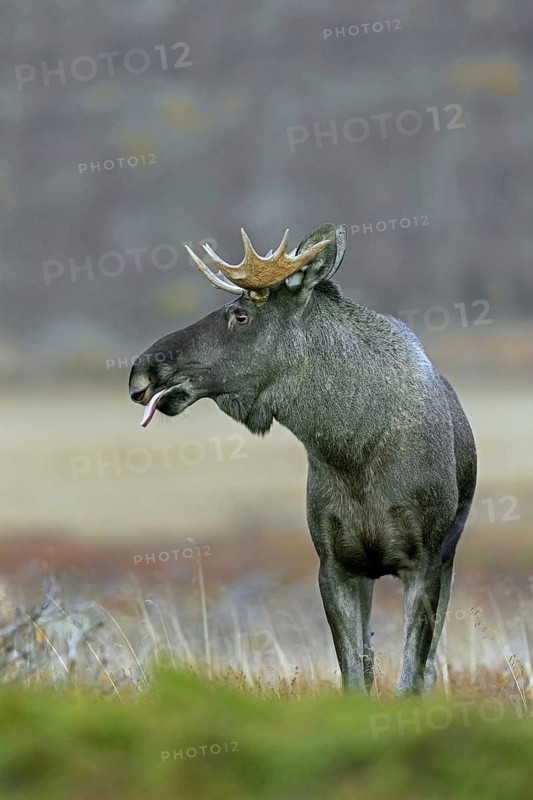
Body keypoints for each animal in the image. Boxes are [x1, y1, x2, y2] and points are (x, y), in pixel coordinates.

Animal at [129, 223, 477, 694]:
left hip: (447, 558)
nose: (141, 371)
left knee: (431, 667)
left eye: (241, 315)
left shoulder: (423, 561)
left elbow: (409, 680)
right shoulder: (334, 563)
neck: (351, 450)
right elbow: (354, 679)